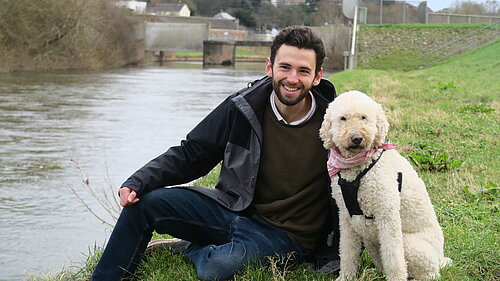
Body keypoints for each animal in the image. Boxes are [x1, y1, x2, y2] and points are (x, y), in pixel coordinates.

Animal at [320, 91, 454, 278]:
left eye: (363, 117)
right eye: (343, 118)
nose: (357, 138)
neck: (359, 167)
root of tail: (440, 258)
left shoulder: (387, 215)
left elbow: (394, 258)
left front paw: (396, 278)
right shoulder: (346, 218)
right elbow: (347, 252)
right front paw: (346, 276)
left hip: (411, 246)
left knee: (429, 273)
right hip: (371, 241)